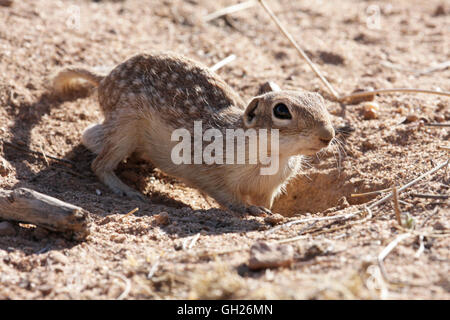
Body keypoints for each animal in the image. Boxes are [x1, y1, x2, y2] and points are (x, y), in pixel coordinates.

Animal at [52, 52, 334, 215]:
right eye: (281, 110)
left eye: (320, 99)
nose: (328, 135)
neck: (272, 155)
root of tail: (104, 78)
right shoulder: (212, 172)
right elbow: (227, 196)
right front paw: (251, 211)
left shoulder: (270, 187)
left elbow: (266, 201)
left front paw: (269, 213)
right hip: (125, 126)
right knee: (97, 159)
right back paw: (126, 190)